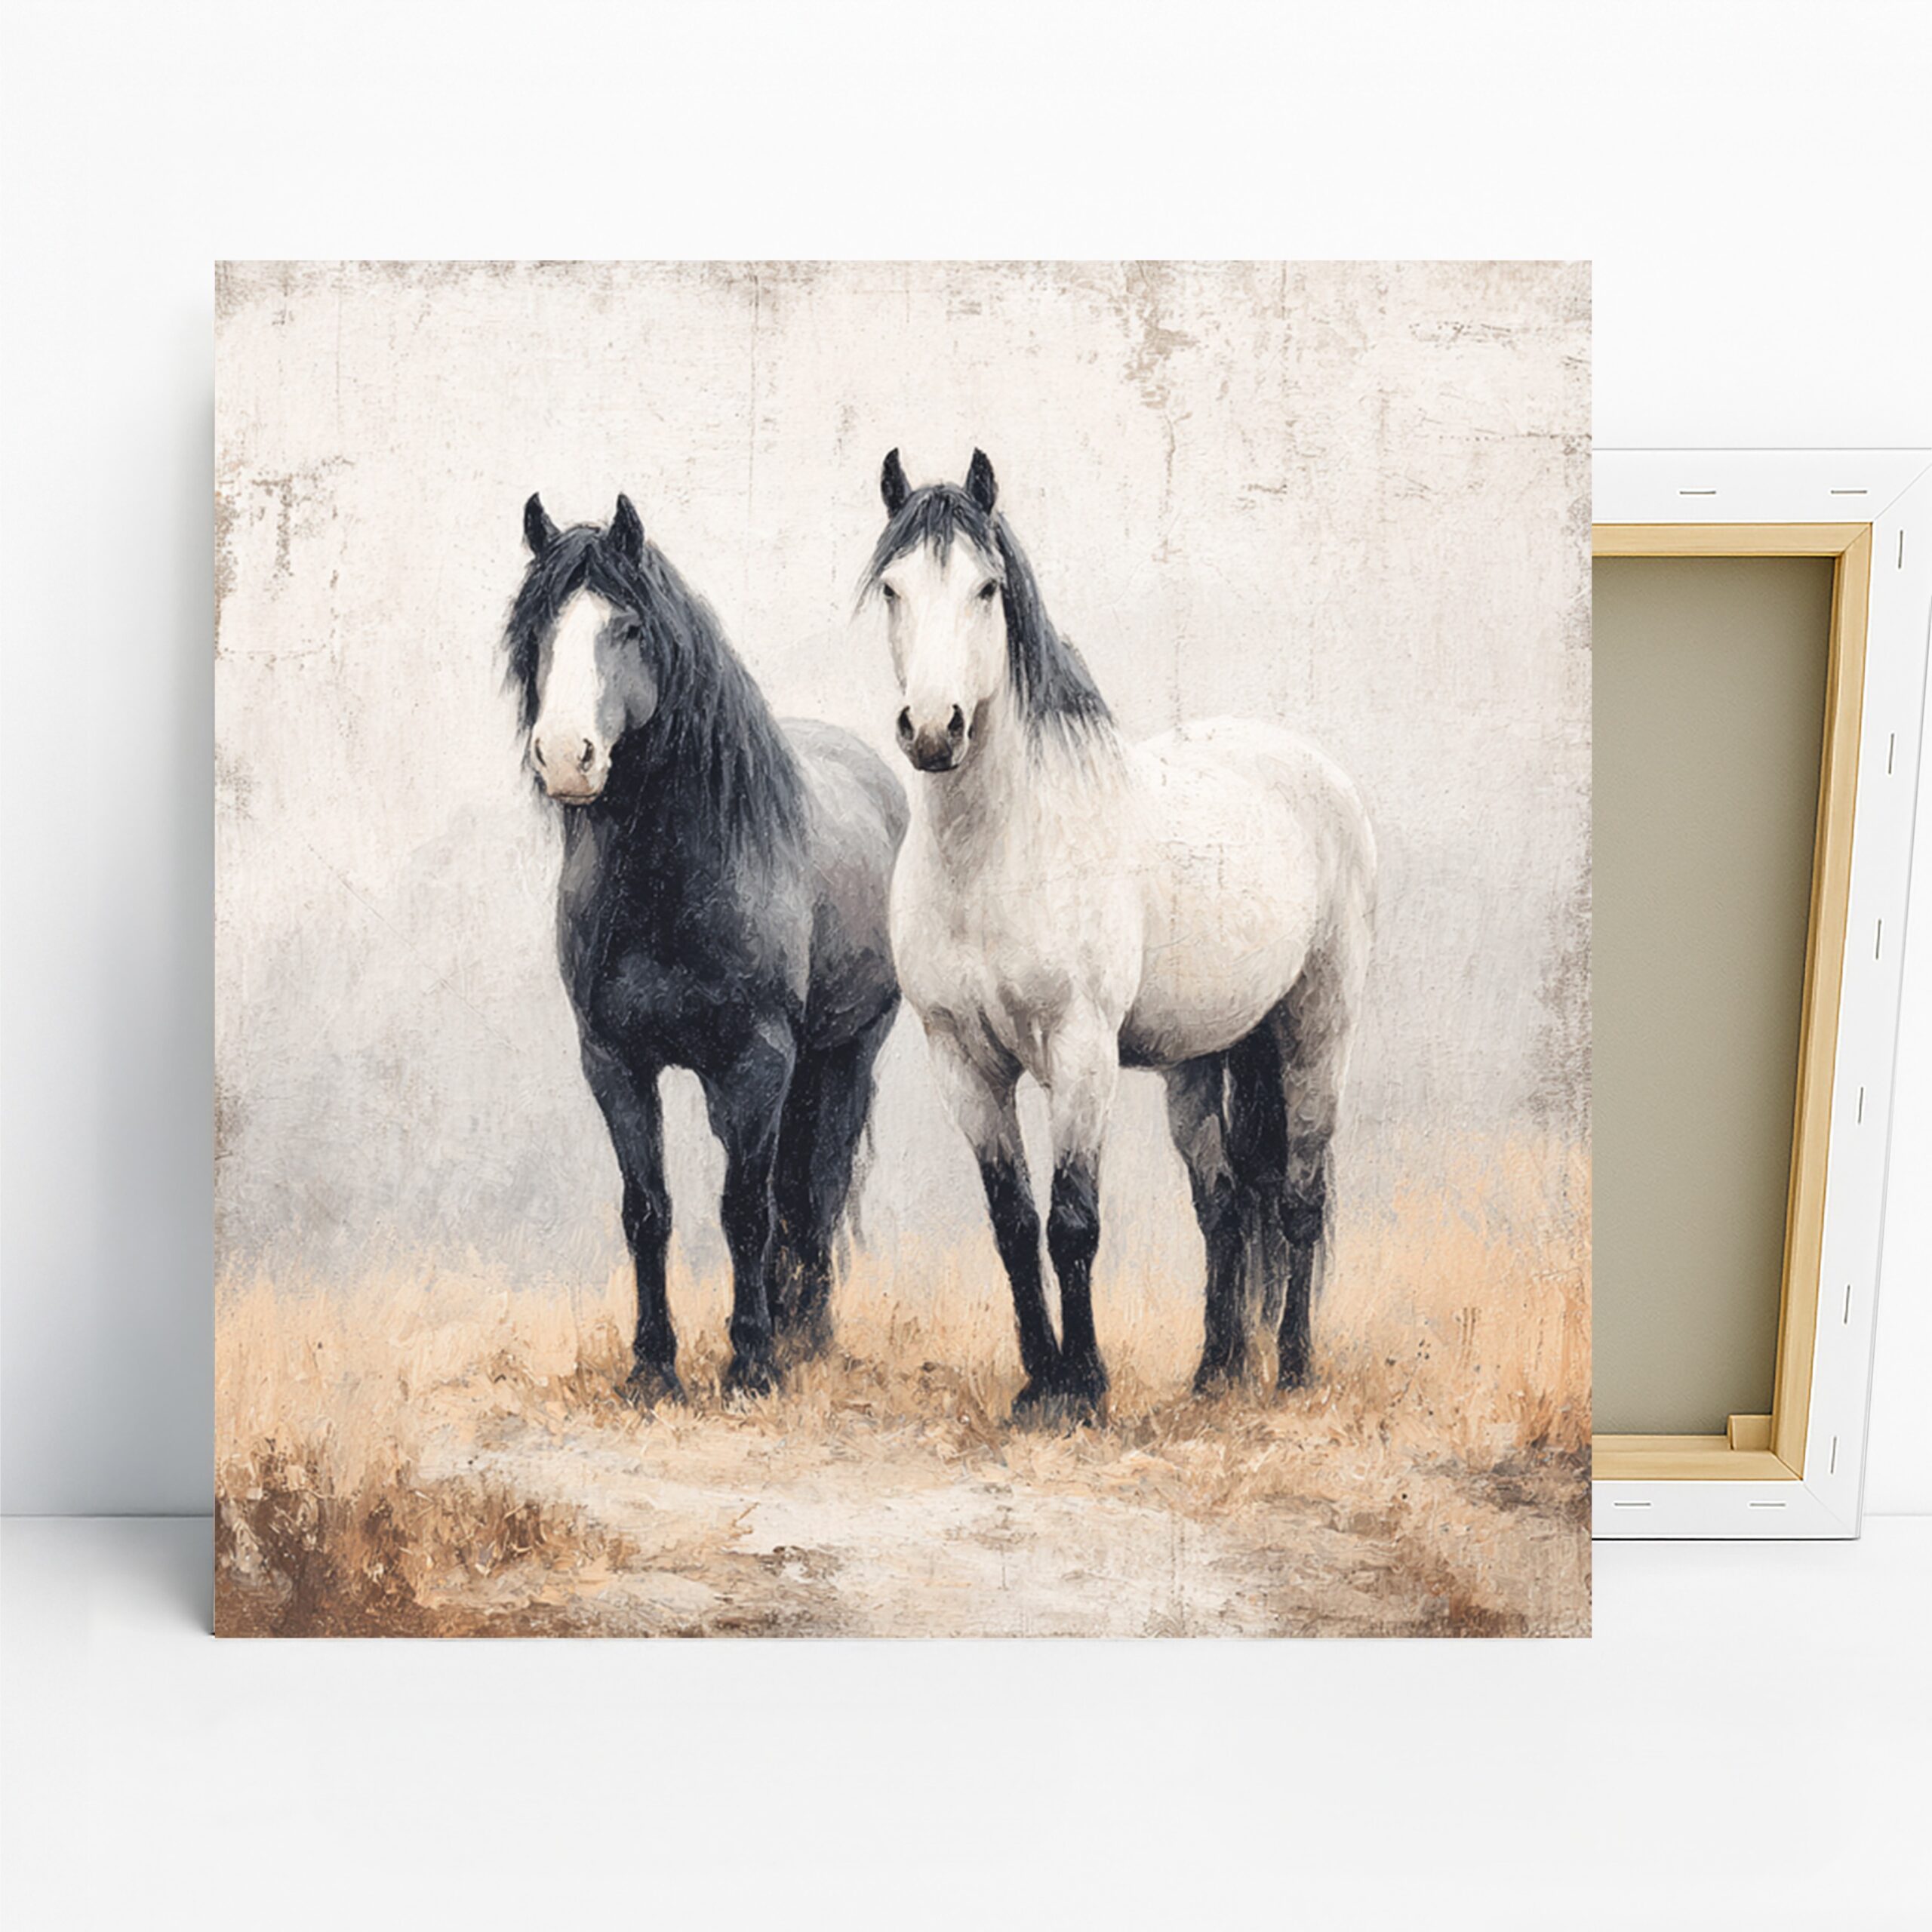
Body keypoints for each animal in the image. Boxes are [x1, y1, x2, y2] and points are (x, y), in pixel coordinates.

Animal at [506, 493, 907, 1402]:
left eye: (628, 627)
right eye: (538, 629)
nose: (566, 757)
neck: (671, 884)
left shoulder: (756, 1061)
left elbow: (747, 1210)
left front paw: (751, 1361)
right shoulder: (613, 1061)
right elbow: (646, 1210)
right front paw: (653, 1366)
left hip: (849, 1053)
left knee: (815, 1189)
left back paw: (806, 1337)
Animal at [863, 449, 1375, 1422]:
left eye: (987, 587)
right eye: (891, 588)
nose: (934, 728)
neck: (999, 854)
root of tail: (1314, 773)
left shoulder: (1079, 1050)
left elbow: (1073, 1222)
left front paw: (1085, 1389)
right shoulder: (964, 1063)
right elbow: (1013, 1224)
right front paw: (1038, 1379)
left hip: (1314, 1030)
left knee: (1299, 1195)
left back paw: (1293, 1368)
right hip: (1200, 1059)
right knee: (1222, 1202)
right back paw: (1216, 1370)